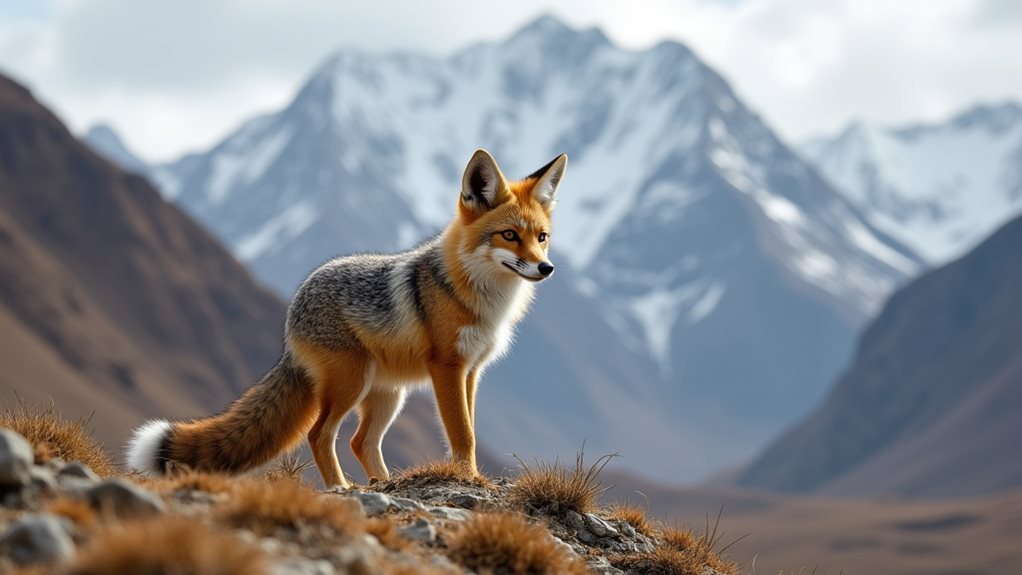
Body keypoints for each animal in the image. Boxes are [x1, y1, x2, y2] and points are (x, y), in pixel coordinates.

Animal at [126, 149, 567, 488]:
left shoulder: (472, 371)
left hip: (387, 394)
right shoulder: (448, 366)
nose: (546, 268)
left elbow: (469, 429)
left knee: (360, 442)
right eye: (509, 235)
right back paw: (341, 487)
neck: (482, 298)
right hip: (351, 384)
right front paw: (470, 478)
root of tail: (293, 311)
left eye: (541, 238)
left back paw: (383, 483)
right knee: (320, 435)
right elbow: (463, 433)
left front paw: (469, 475)